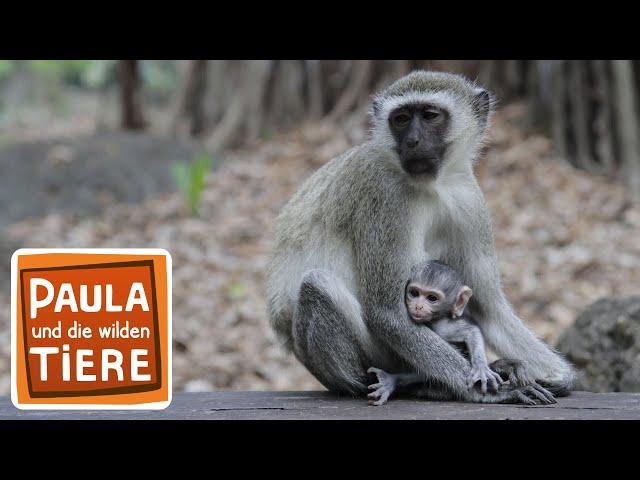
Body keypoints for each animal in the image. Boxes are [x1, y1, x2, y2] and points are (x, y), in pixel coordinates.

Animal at [368, 260, 502, 406]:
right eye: (414, 293)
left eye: (432, 298)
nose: (418, 306)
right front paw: (392, 380)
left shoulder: (444, 327)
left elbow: (471, 331)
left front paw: (481, 368)